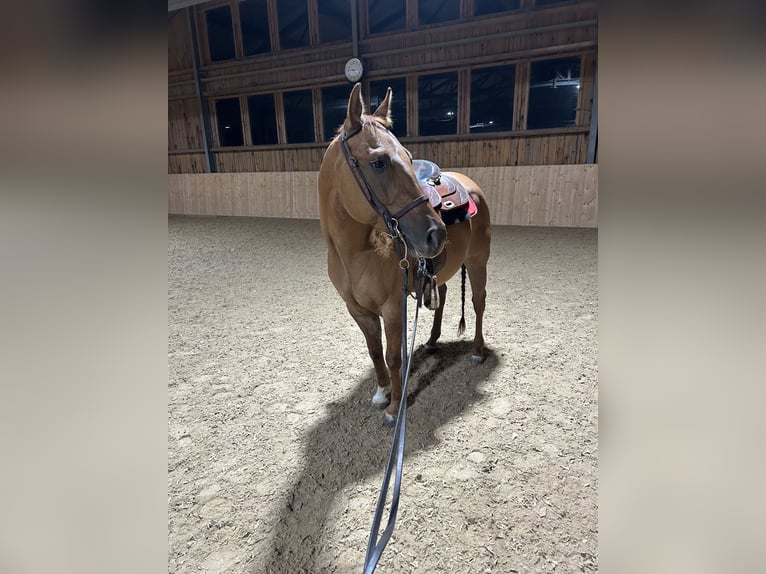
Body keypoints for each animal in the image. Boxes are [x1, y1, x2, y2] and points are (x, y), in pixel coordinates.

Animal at [318, 83, 491, 426]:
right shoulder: (358, 310)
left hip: (478, 262)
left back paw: (478, 351)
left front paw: (395, 406)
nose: (436, 233)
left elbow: (393, 356)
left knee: (478, 302)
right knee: (444, 295)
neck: (356, 252)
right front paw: (381, 392)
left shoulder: (392, 308)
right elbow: (374, 352)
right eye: (379, 162)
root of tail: (470, 184)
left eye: (410, 158)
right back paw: (432, 341)